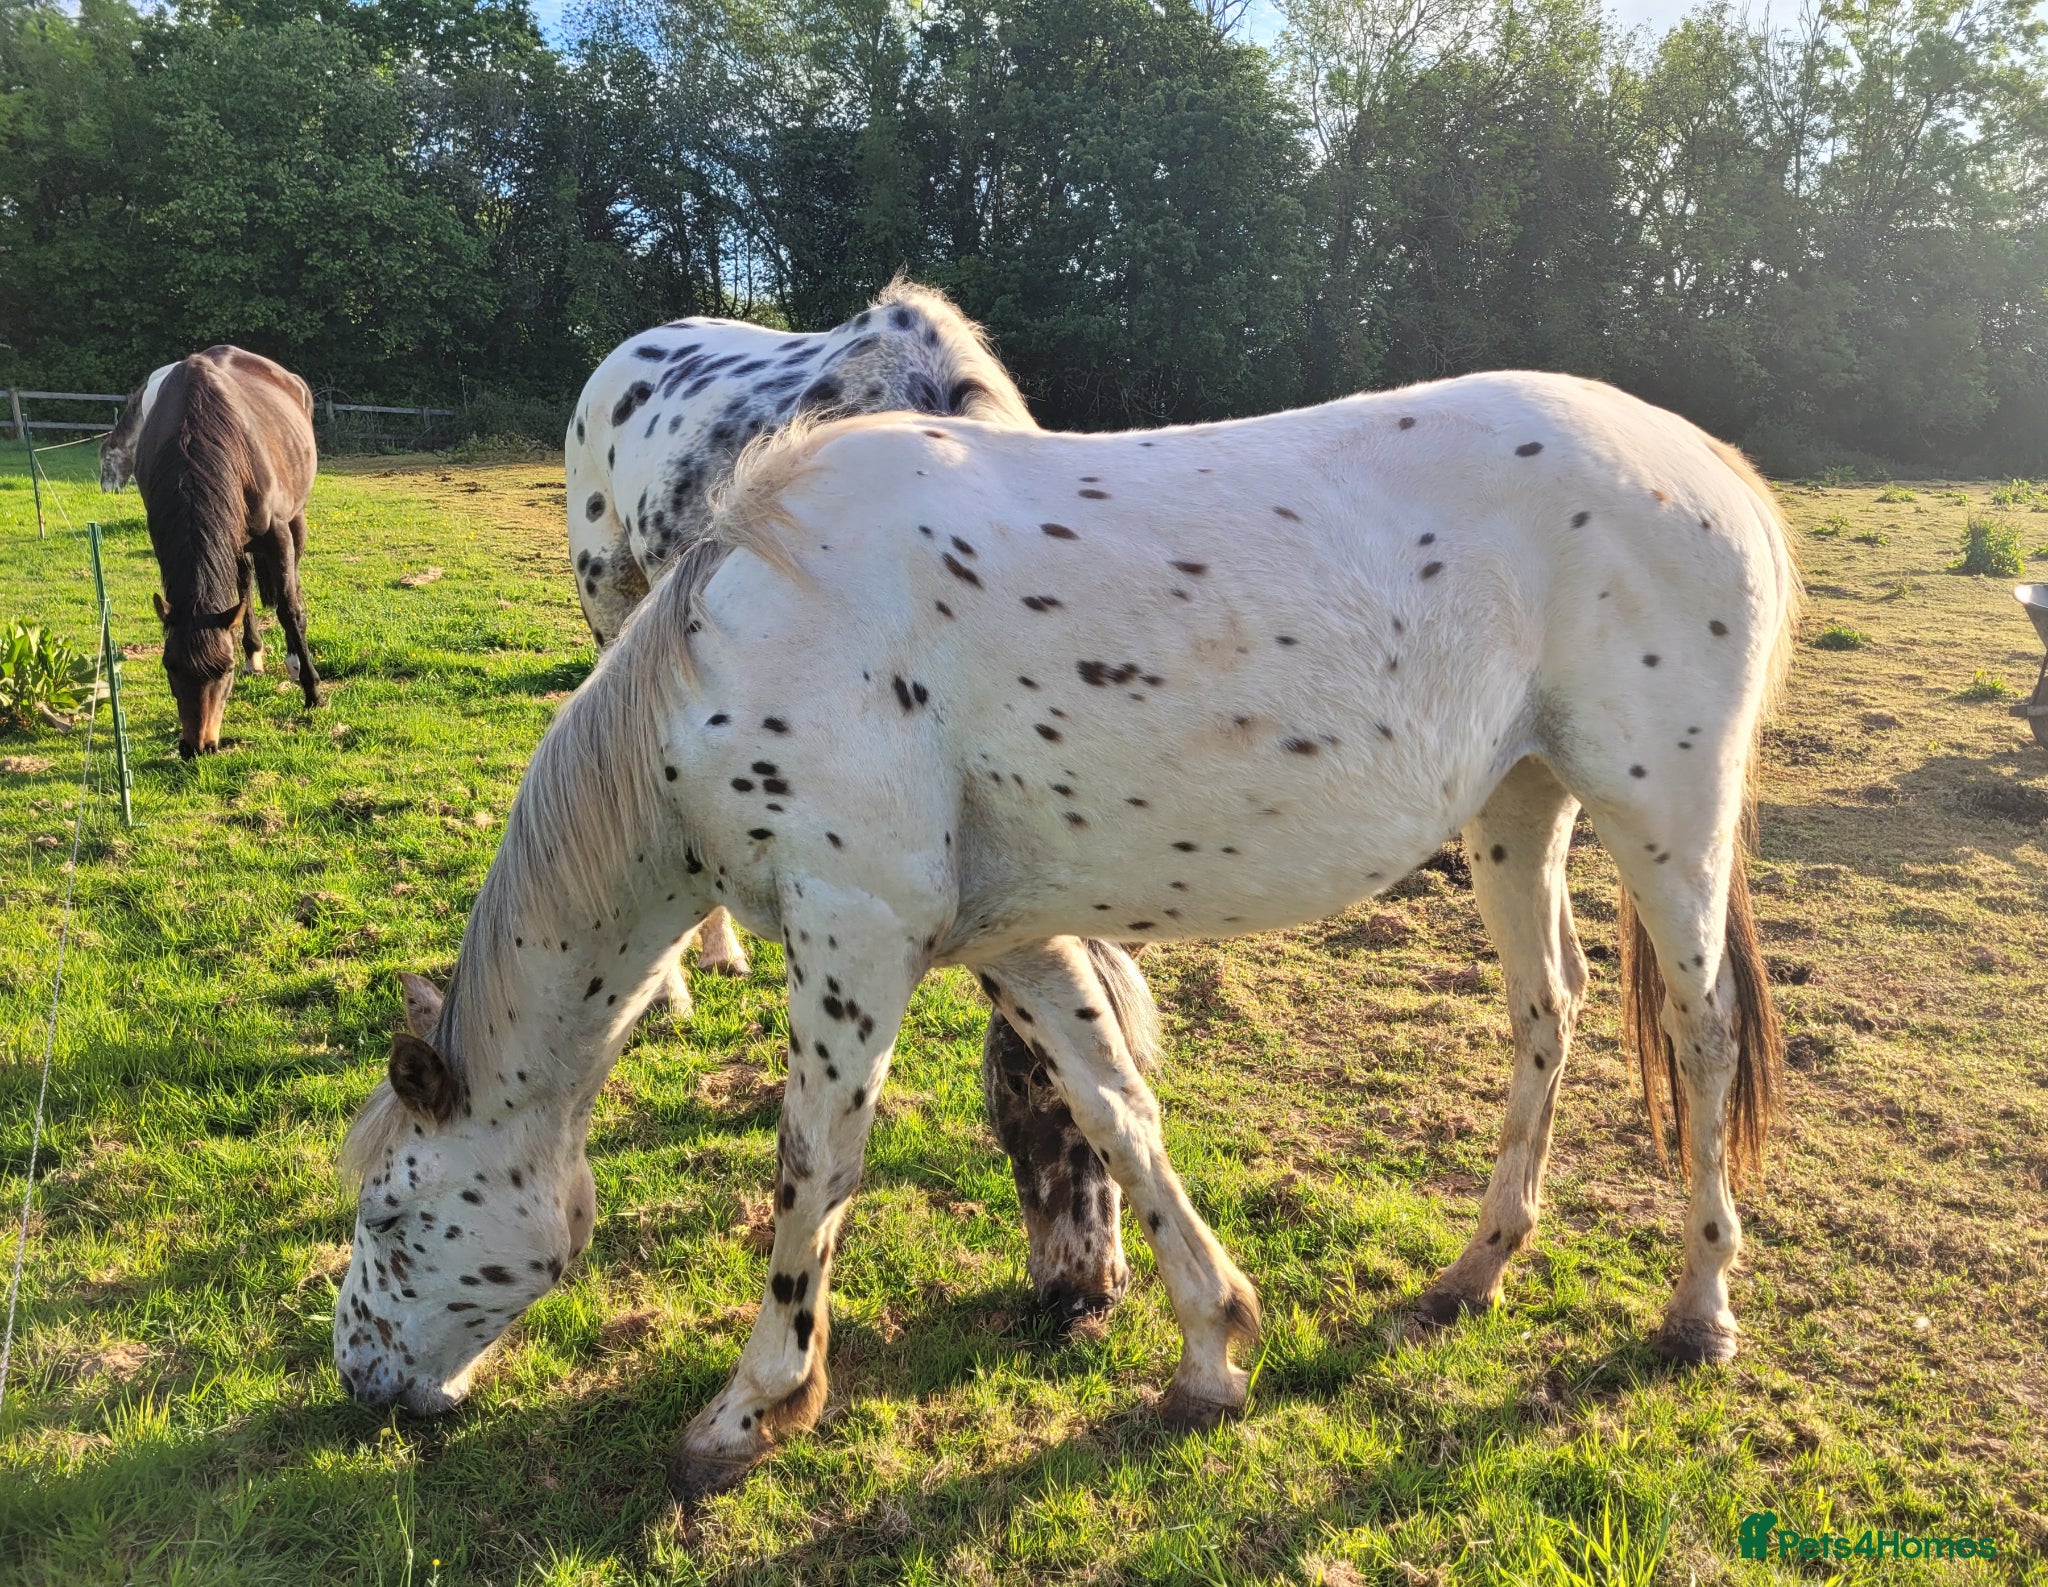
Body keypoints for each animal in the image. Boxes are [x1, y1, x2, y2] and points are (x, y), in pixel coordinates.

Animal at [134, 346, 320, 756]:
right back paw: (255, 651)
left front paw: (313, 691)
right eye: (169, 666)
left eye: (224, 669)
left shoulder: (276, 533)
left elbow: (288, 608)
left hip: (295, 519)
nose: (198, 746)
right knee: (243, 584)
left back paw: (294, 661)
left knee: (290, 588)